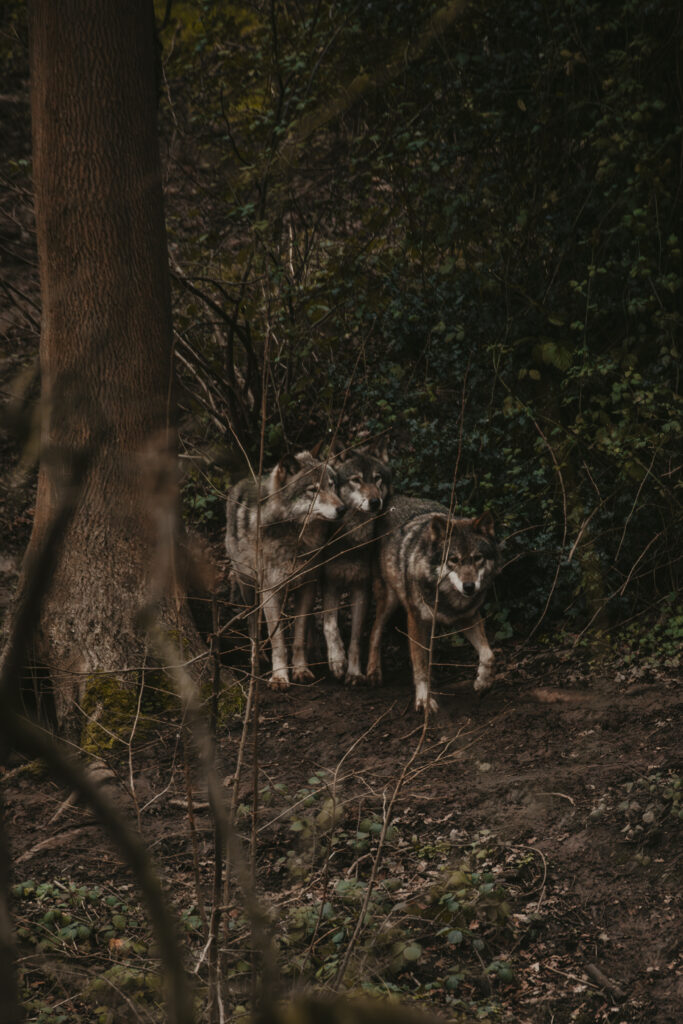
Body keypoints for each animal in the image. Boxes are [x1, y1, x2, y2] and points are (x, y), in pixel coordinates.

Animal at [225, 451, 346, 690]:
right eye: (313, 490)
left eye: (332, 486)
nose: (342, 508)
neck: (297, 537)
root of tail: (240, 482)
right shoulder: (270, 590)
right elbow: (278, 641)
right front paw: (279, 676)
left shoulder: (307, 584)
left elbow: (298, 635)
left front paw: (300, 670)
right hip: (248, 586)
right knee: (254, 624)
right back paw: (257, 658)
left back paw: (314, 651)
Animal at [321, 443, 392, 683]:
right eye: (356, 480)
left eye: (377, 479)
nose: (375, 502)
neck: (352, 540)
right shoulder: (330, 584)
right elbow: (330, 625)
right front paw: (337, 661)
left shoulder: (362, 588)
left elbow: (356, 639)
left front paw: (353, 672)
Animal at [366, 496, 501, 711]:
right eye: (453, 560)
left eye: (477, 558)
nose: (469, 587)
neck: (448, 598)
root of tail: (392, 497)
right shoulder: (416, 620)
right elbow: (420, 663)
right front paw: (424, 699)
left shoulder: (467, 617)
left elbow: (488, 654)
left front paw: (483, 682)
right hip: (389, 600)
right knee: (375, 631)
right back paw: (373, 673)